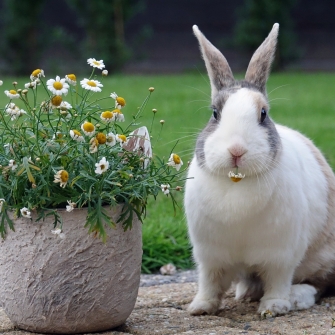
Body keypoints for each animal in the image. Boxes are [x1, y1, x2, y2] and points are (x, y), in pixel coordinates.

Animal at [185, 23, 335, 318]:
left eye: (263, 114)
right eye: (215, 113)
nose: (236, 150)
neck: (236, 181)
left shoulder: (281, 254)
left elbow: (278, 279)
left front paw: (273, 307)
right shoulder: (209, 254)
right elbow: (210, 281)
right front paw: (200, 307)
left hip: (325, 256)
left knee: (322, 283)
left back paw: (296, 297)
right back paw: (246, 292)